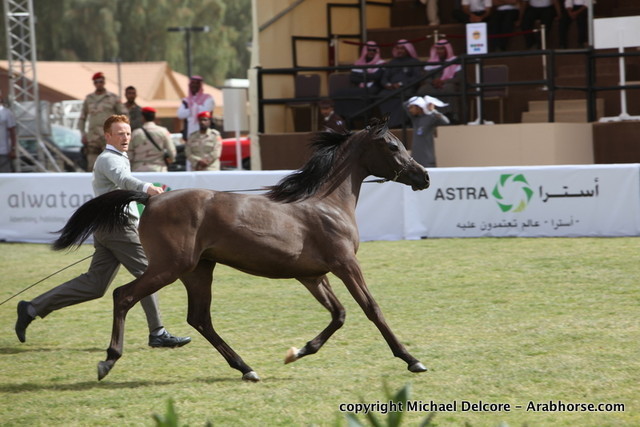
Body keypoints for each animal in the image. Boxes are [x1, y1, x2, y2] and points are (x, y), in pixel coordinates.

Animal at [53, 118, 430, 382]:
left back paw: (246, 368)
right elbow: (371, 309)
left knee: (199, 318)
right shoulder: (345, 264)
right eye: (393, 145)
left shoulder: (311, 275)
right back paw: (108, 360)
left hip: (198, 270)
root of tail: (153, 198)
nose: (423, 177)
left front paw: (298, 352)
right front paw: (412, 360)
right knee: (124, 296)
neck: (326, 204)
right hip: (169, 267)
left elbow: (338, 314)